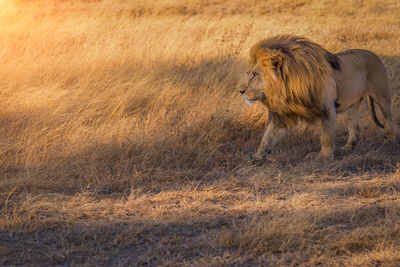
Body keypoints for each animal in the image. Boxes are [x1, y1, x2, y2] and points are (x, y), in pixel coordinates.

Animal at [239, 34, 396, 162]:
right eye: (249, 74)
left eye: (254, 75)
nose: (240, 91)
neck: (289, 86)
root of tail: (373, 53)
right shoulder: (284, 115)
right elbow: (267, 137)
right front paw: (257, 156)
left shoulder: (328, 109)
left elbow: (326, 137)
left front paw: (324, 158)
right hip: (351, 106)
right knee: (354, 128)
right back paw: (349, 147)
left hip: (381, 95)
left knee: (388, 118)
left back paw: (389, 139)